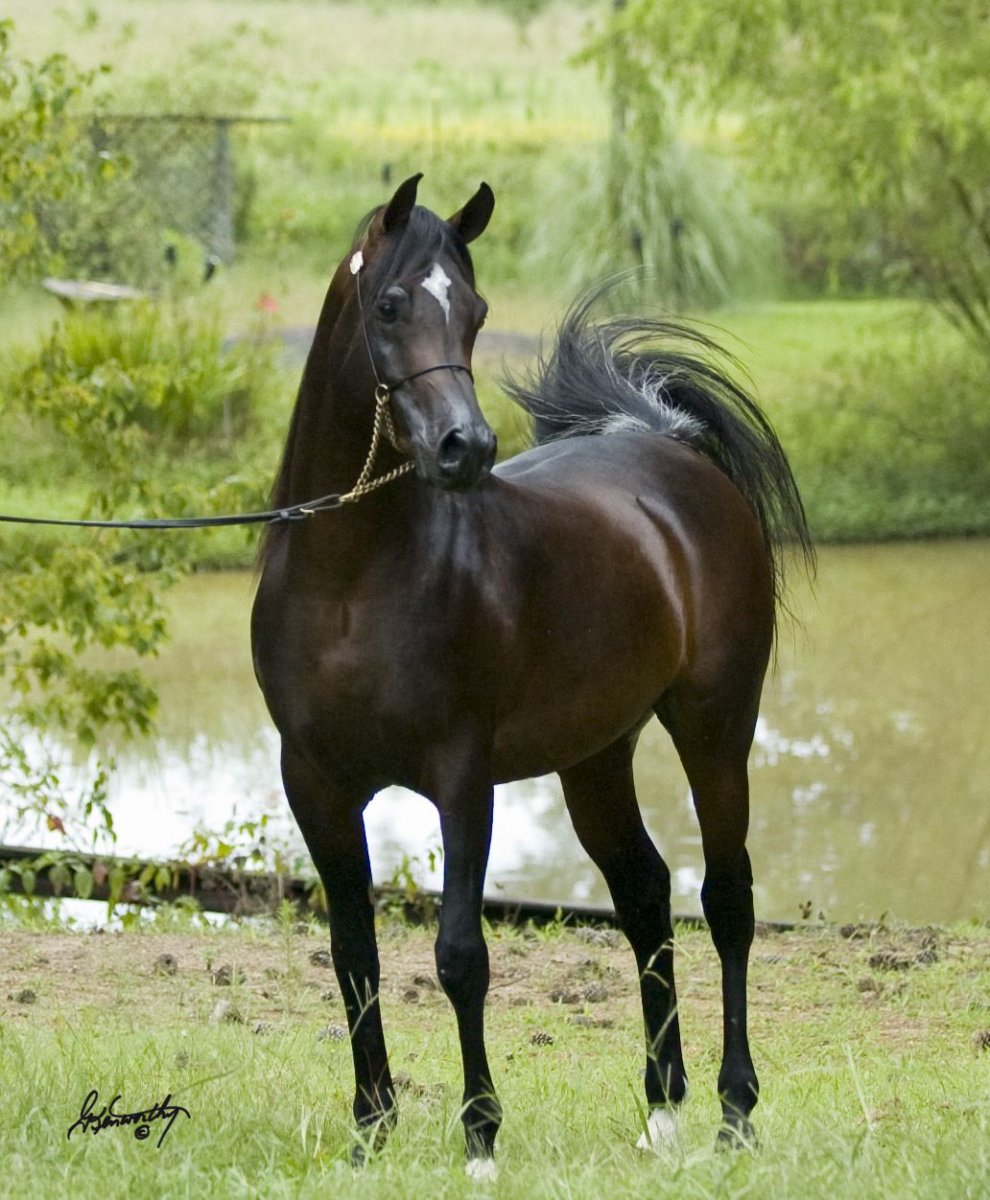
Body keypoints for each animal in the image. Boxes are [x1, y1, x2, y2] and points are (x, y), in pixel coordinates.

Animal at [251, 174, 813, 1174]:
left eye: (475, 313)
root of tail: (665, 444)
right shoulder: (314, 784)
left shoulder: (461, 779)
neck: (350, 581)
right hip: (596, 756)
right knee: (644, 894)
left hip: (715, 728)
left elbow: (459, 955)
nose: (464, 449)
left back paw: (734, 1113)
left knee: (726, 899)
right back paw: (661, 1111)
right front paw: (370, 1131)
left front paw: (479, 1137)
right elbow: (353, 951)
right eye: (390, 305)